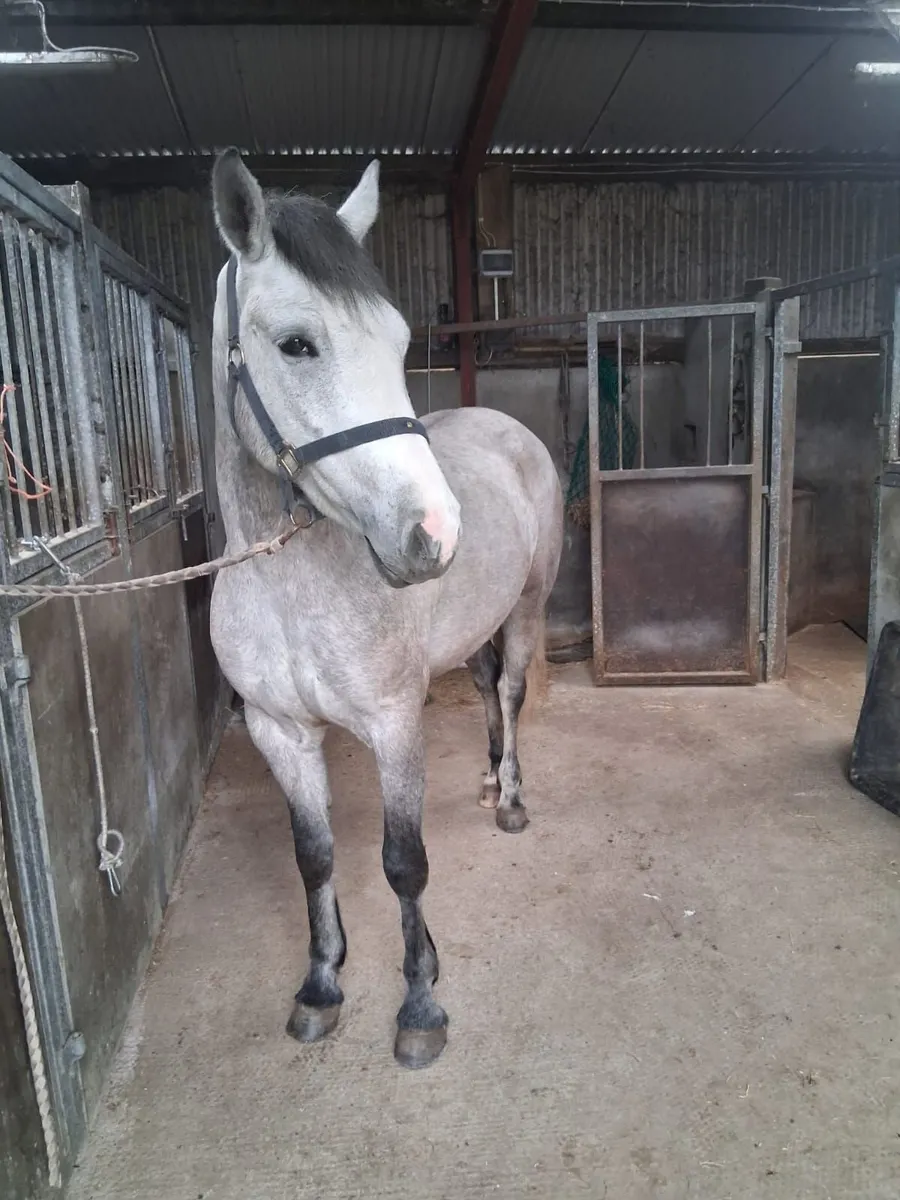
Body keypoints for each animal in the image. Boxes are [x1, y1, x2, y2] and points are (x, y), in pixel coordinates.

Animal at [208, 149, 563, 1069]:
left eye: (402, 343)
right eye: (297, 344)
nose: (433, 534)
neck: (289, 592)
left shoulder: (395, 724)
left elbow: (403, 863)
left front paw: (420, 1003)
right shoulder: (280, 733)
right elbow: (315, 857)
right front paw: (321, 985)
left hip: (528, 607)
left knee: (511, 693)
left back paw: (511, 798)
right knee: (484, 690)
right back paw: (487, 774)